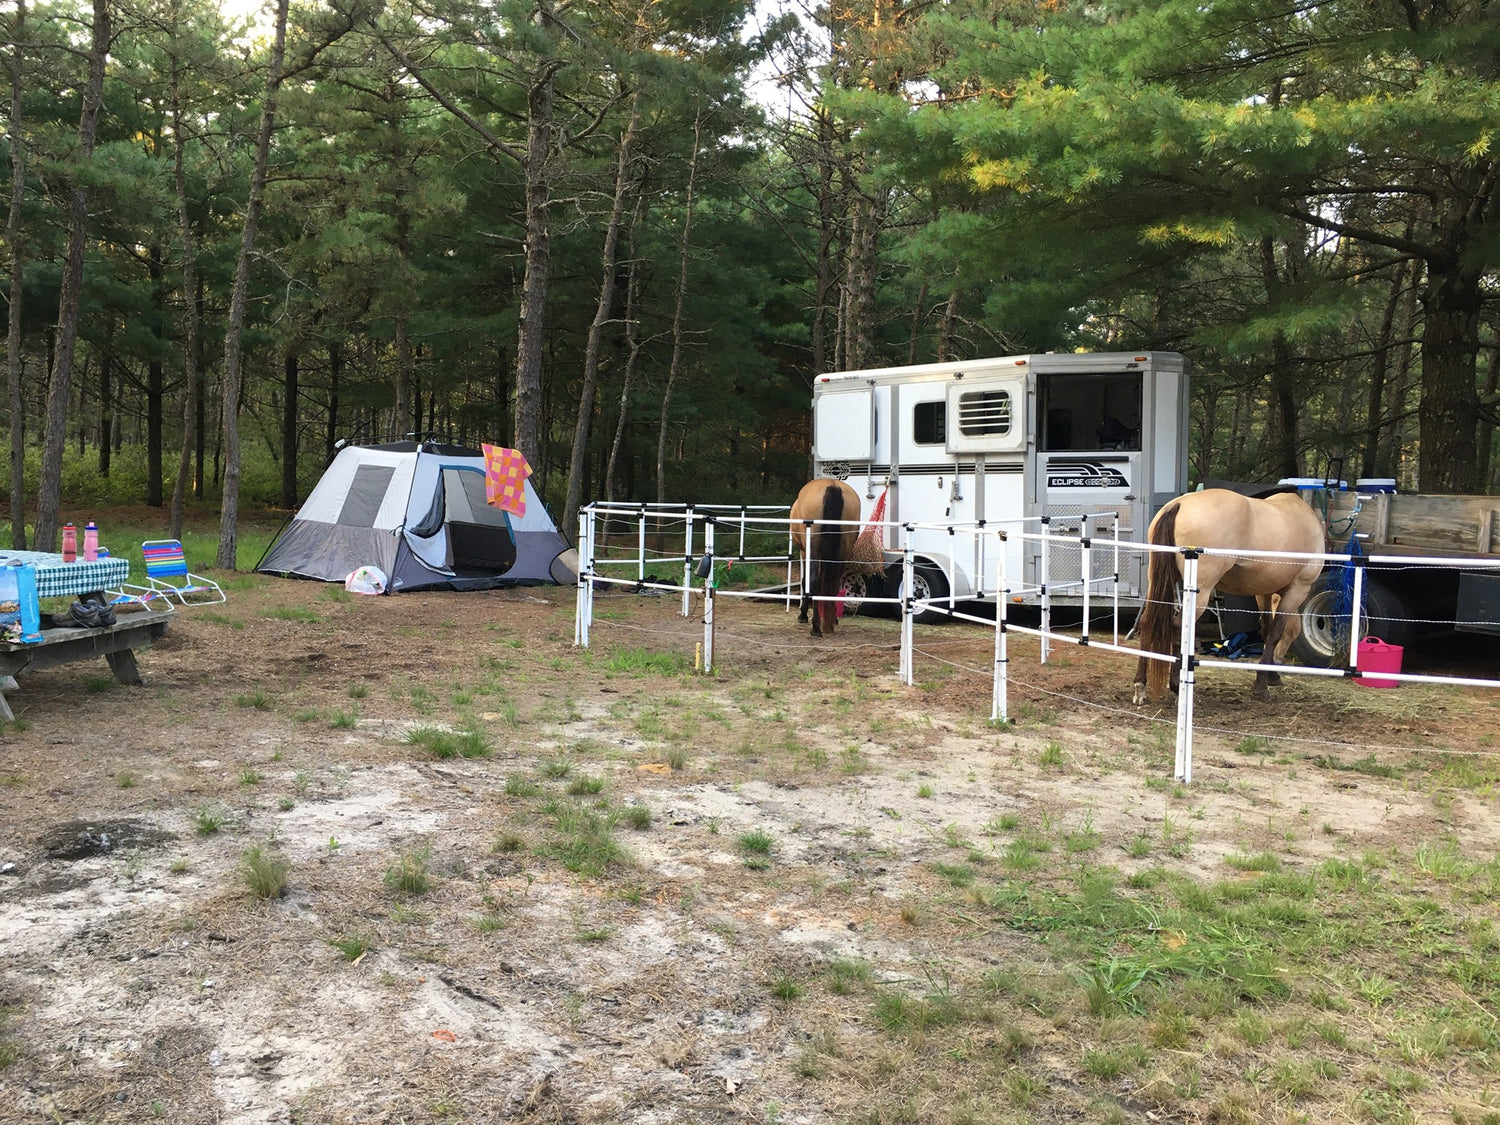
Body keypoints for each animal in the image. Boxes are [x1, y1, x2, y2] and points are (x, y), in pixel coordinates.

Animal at [790, 478, 861, 638]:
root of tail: (832, 486)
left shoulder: (805, 552)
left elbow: (805, 581)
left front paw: (803, 615)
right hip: (843, 550)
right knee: (834, 584)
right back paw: (830, 622)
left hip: (813, 547)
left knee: (814, 582)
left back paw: (816, 627)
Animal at [1133, 488, 1325, 704]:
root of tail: (1179, 504)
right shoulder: (1297, 590)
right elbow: (1276, 633)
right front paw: (1261, 685)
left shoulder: (1264, 592)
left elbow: (1267, 630)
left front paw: (1272, 676)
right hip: (1201, 593)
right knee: (1177, 626)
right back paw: (1175, 686)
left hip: (1159, 581)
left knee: (1147, 622)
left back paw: (1140, 686)